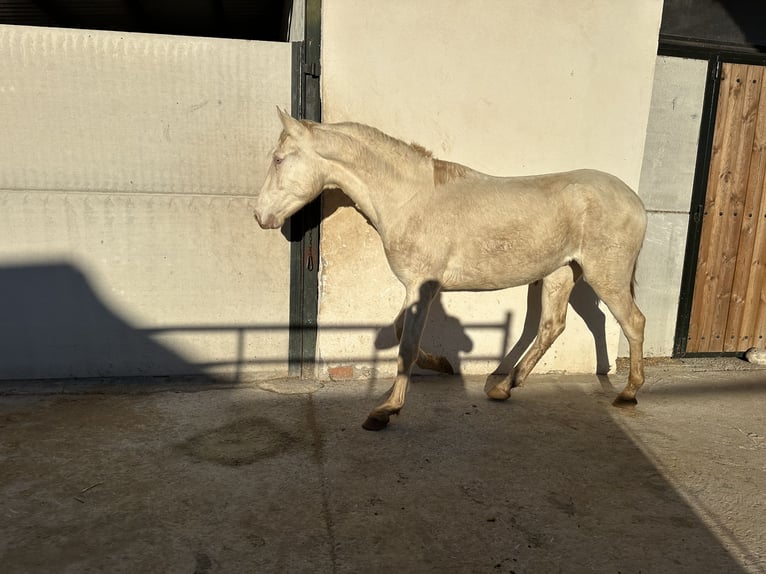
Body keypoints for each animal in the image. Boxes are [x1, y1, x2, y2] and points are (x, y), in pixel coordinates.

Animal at [256, 109, 648, 432]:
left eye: (278, 159)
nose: (261, 216)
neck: (411, 200)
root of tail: (635, 201)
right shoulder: (416, 287)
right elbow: (399, 331)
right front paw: (441, 364)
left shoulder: (423, 286)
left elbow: (407, 344)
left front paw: (385, 411)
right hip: (560, 273)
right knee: (552, 326)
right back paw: (504, 387)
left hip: (604, 275)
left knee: (632, 322)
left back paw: (628, 392)